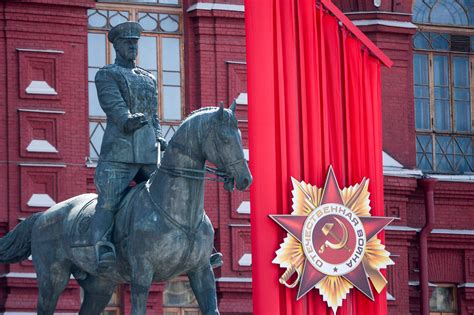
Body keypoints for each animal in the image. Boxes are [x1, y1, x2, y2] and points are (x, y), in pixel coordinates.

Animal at [0, 105, 252, 314]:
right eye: (225, 139)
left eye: (241, 137)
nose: (245, 179)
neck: (180, 213)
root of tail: (43, 215)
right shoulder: (142, 274)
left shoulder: (202, 272)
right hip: (52, 279)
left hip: (100, 286)